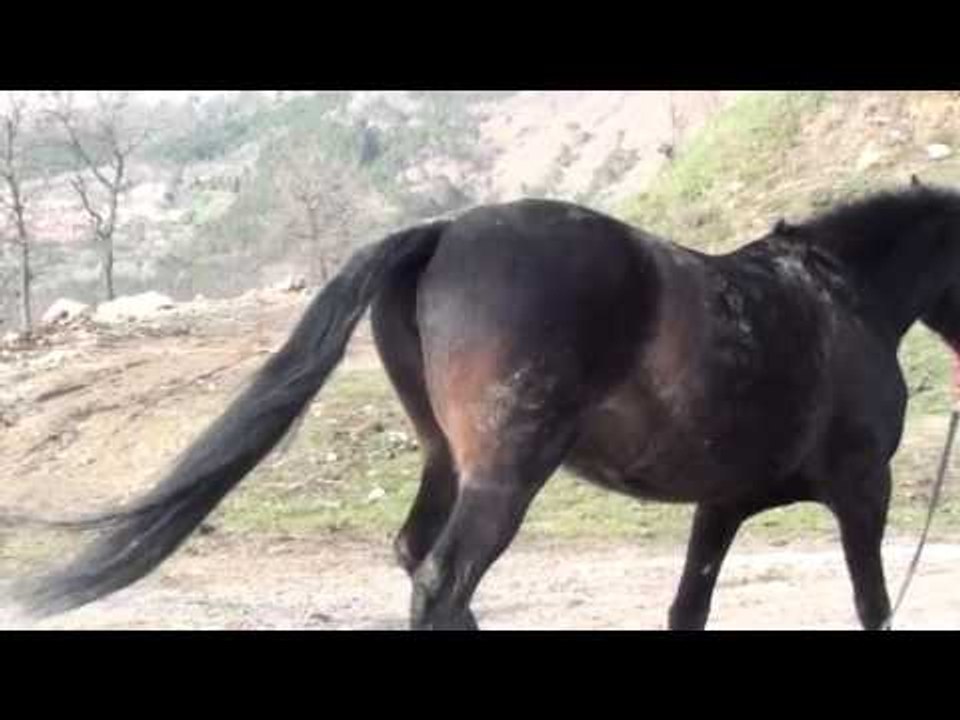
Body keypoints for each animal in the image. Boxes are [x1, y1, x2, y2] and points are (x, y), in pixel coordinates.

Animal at [8, 180, 960, 630]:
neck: (843, 298)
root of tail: (443, 233)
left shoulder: (720, 506)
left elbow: (688, 606)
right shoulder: (863, 491)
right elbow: (873, 603)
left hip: (448, 460)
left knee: (422, 562)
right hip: (506, 475)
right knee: (444, 576)